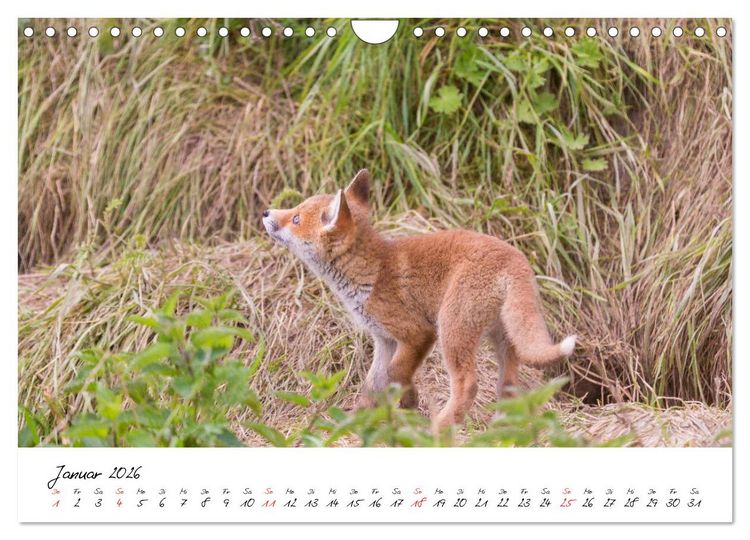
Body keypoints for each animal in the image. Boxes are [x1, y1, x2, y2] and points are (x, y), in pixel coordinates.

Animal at [262, 169, 576, 430]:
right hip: (504, 340)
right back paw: (502, 428)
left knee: (468, 385)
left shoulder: (417, 333)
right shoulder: (384, 341)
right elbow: (372, 385)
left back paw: (441, 426)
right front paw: (355, 421)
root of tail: (516, 259)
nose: (265, 211)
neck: (371, 273)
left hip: (451, 331)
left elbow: (397, 371)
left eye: (296, 219)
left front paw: (409, 400)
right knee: (509, 387)